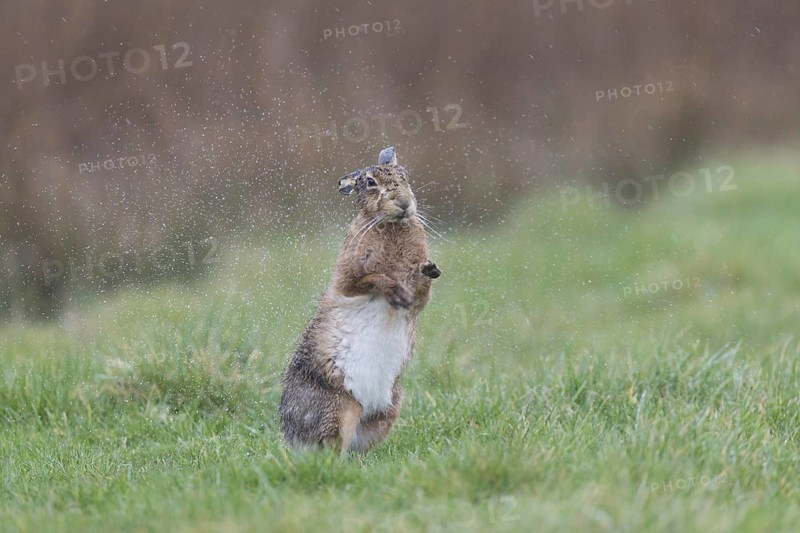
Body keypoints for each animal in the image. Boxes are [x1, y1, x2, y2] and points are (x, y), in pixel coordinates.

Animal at [279, 146, 441, 454]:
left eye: (405, 177)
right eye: (370, 183)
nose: (404, 203)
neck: (390, 225)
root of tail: (291, 437)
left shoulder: (419, 301)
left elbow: (420, 293)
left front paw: (428, 270)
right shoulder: (348, 281)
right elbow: (373, 278)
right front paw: (395, 290)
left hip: (390, 408)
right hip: (340, 408)